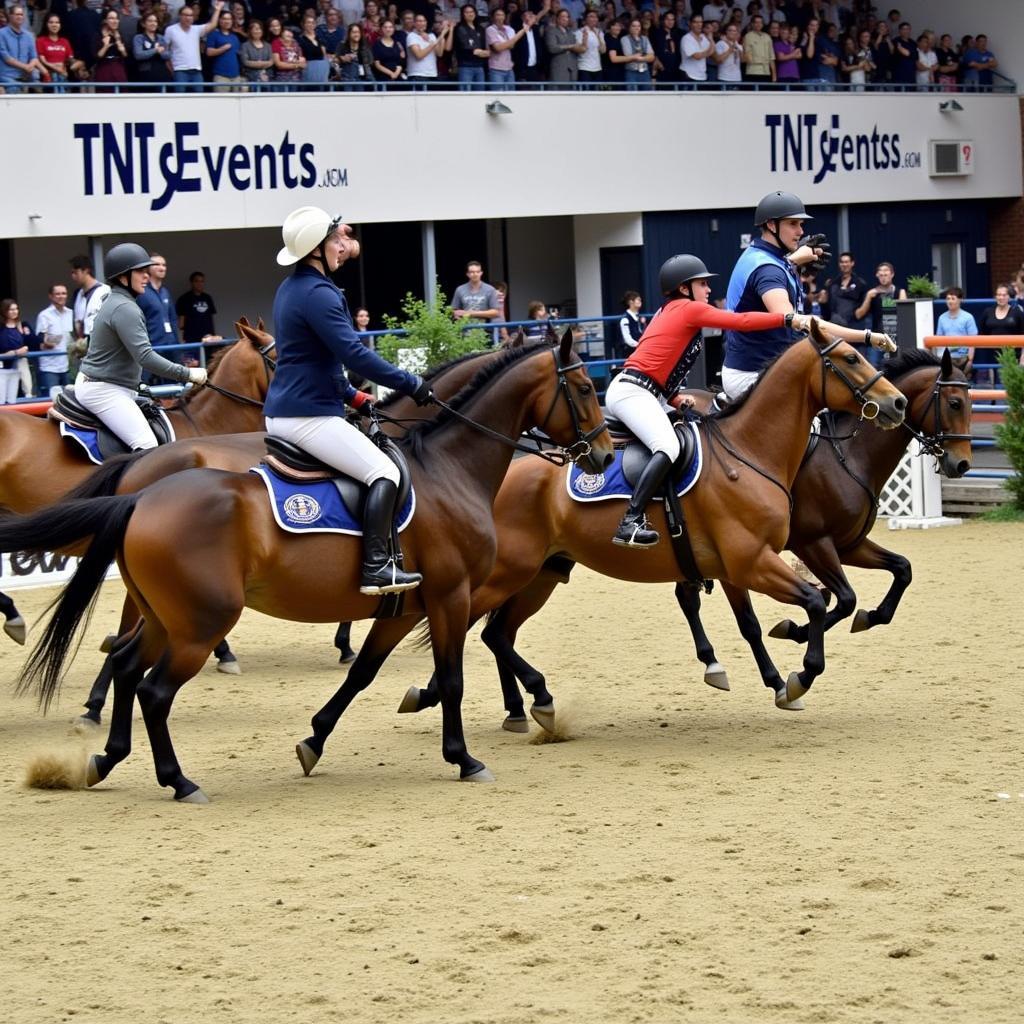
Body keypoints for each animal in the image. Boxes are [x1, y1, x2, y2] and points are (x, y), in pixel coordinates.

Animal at [4, 335, 610, 798]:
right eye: (584, 388)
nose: (603, 454)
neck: (448, 469)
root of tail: (142, 494)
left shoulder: (402, 606)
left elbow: (363, 673)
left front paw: (314, 741)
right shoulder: (449, 596)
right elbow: (454, 678)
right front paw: (463, 758)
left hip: (165, 618)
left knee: (129, 666)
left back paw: (107, 756)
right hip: (201, 623)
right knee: (154, 691)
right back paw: (178, 780)